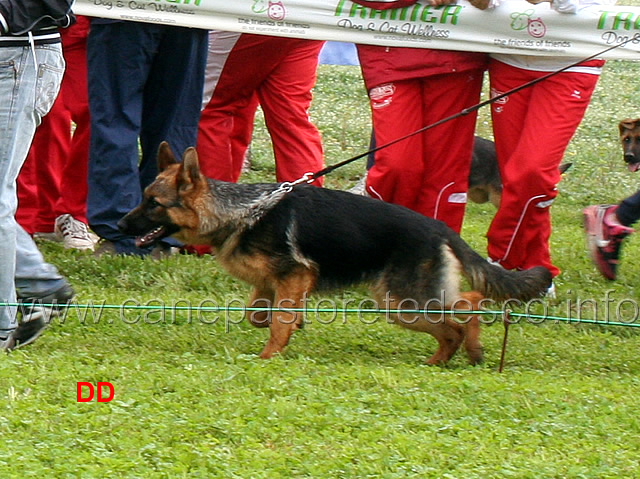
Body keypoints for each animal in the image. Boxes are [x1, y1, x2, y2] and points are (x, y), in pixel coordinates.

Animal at [122, 144, 552, 366]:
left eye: (154, 203)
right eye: (144, 198)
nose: (121, 225)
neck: (241, 211)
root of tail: (439, 228)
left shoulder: (294, 275)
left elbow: (276, 324)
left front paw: (269, 356)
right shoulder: (272, 282)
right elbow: (260, 316)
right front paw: (292, 328)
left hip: (401, 301)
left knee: (460, 317)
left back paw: (451, 356)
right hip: (411, 298)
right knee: (468, 305)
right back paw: (462, 354)